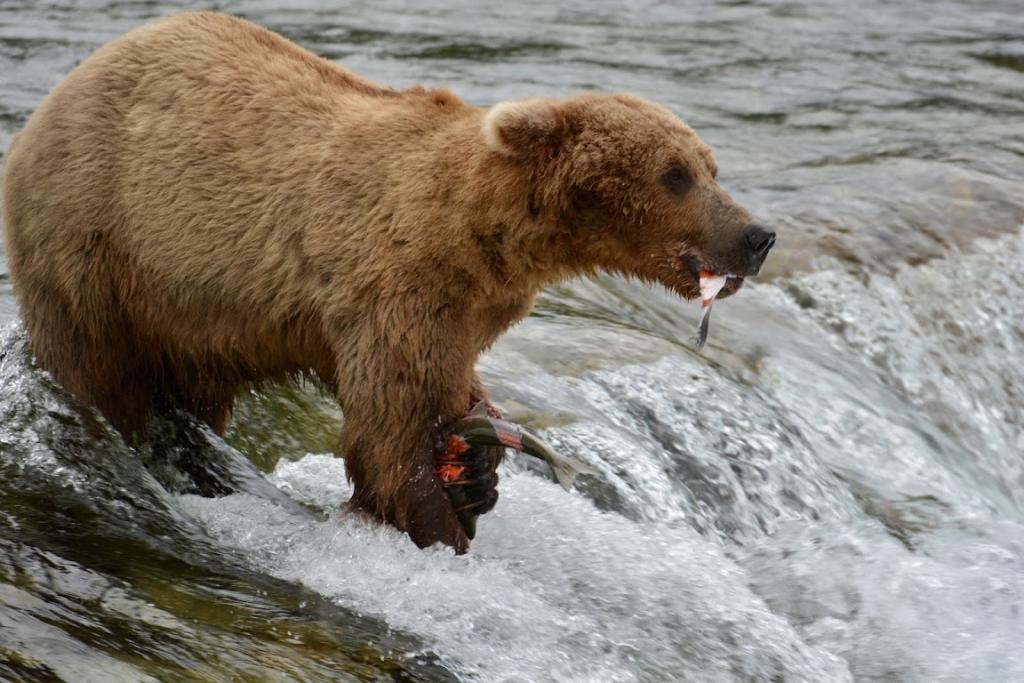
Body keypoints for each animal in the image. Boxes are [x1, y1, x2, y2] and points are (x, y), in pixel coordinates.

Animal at [1, 12, 774, 553]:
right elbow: (390, 425)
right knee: (98, 371)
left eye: (709, 166)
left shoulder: (466, 310)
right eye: (675, 173)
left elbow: (447, 401)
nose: (757, 234)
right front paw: (437, 527)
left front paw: (477, 472)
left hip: (189, 317)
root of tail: (62, 89)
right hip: (97, 244)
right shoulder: (393, 285)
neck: (486, 233)